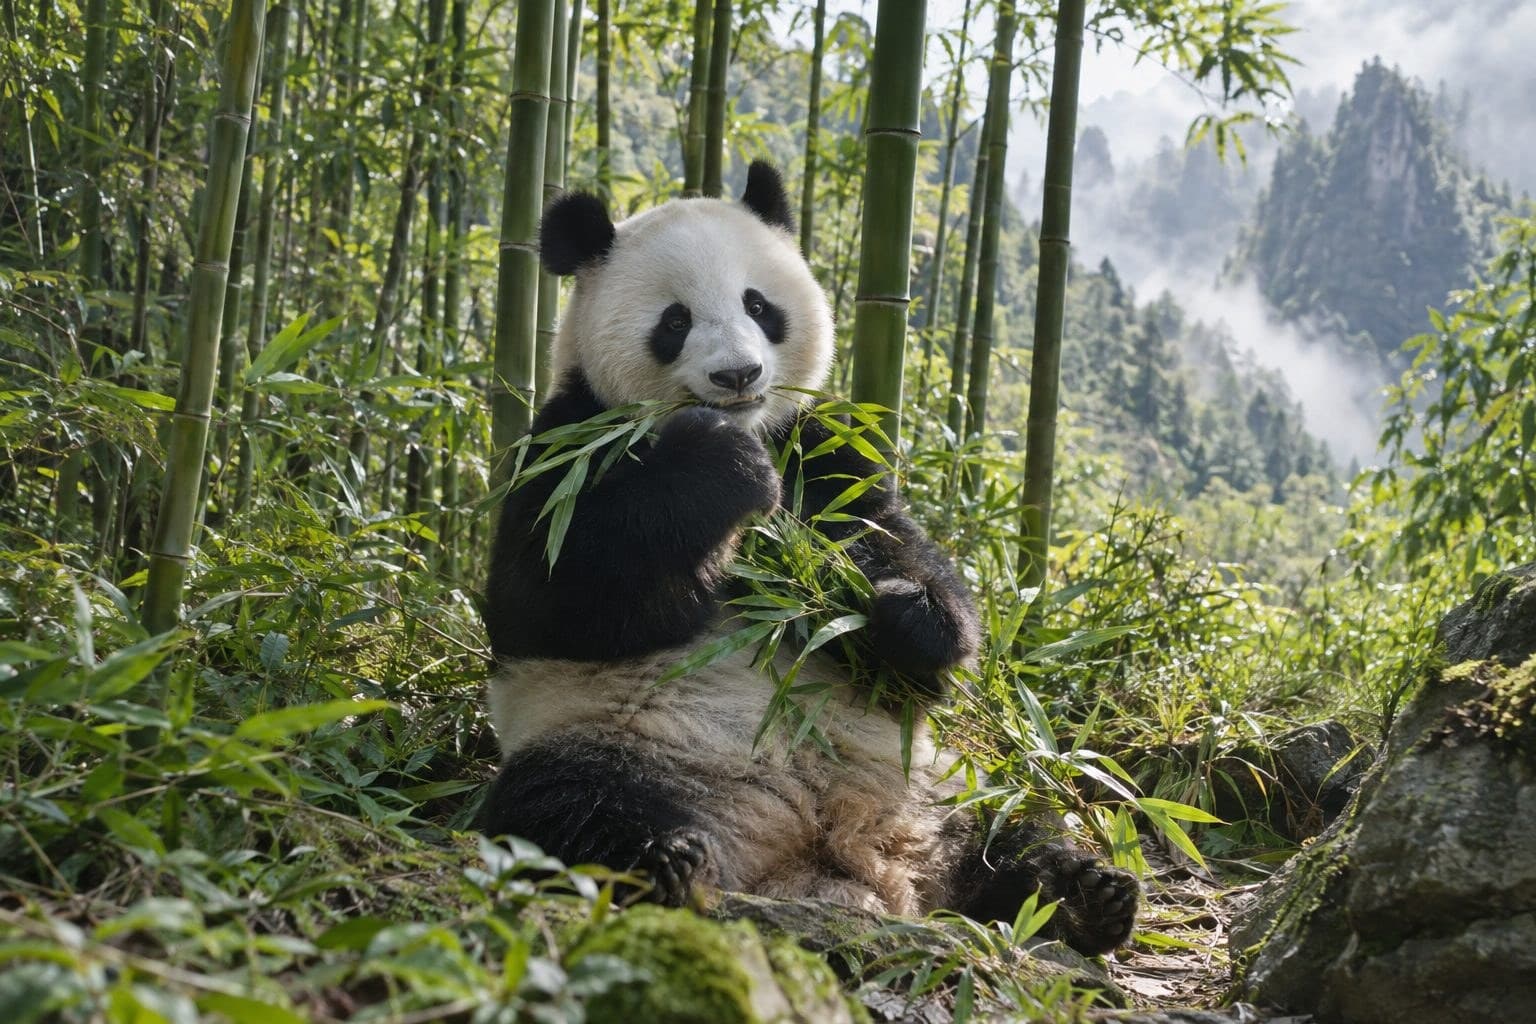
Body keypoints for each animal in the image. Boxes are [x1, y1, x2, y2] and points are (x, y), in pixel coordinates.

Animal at [480, 161, 1137, 957]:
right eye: (675, 321)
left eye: (758, 305)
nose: (738, 376)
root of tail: (828, 852)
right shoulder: (567, 442)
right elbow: (551, 595)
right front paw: (720, 471)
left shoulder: (822, 447)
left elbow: (900, 565)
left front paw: (902, 613)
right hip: (614, 744)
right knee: (565, 808)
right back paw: (665, 863)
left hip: (946, 777)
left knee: (1013, 825)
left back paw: (1084, 895)